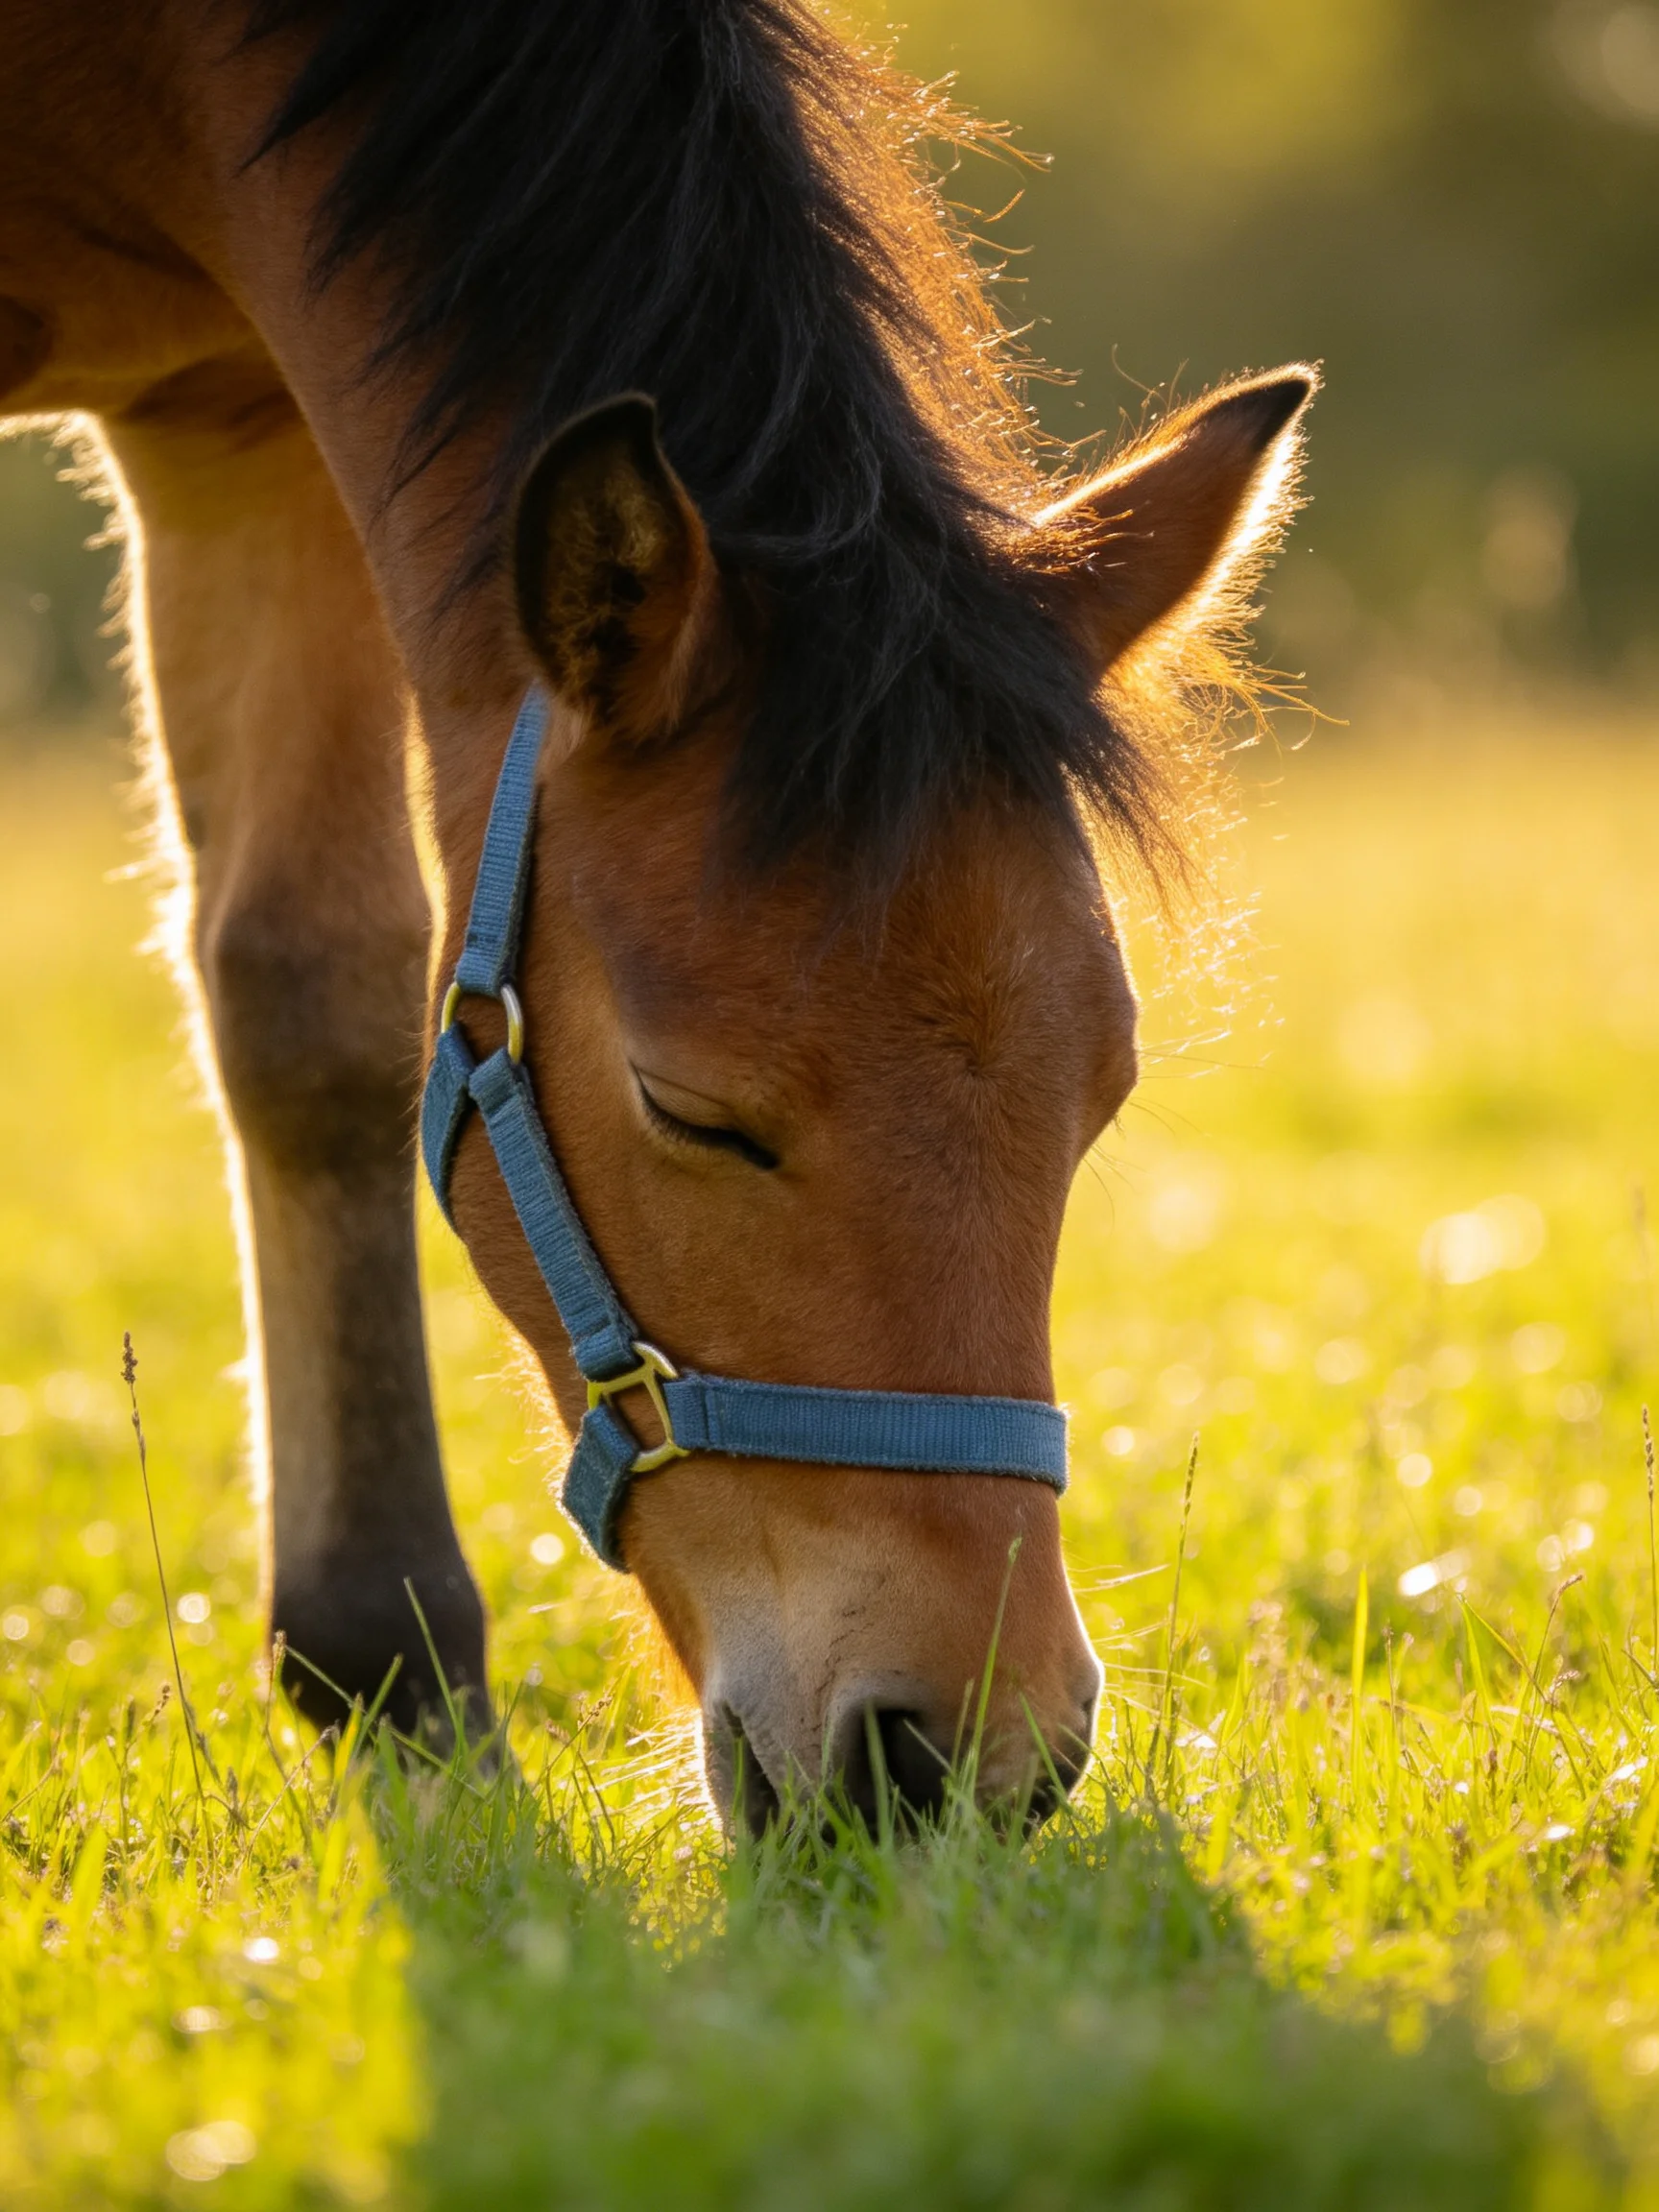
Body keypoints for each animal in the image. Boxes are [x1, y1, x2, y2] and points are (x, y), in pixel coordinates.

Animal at [1, 0, 1311, 1831]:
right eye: (692, 1112)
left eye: (1099, 1098)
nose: (958, 1755)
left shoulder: (238, 415)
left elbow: (305, 995)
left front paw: (391, 1666)